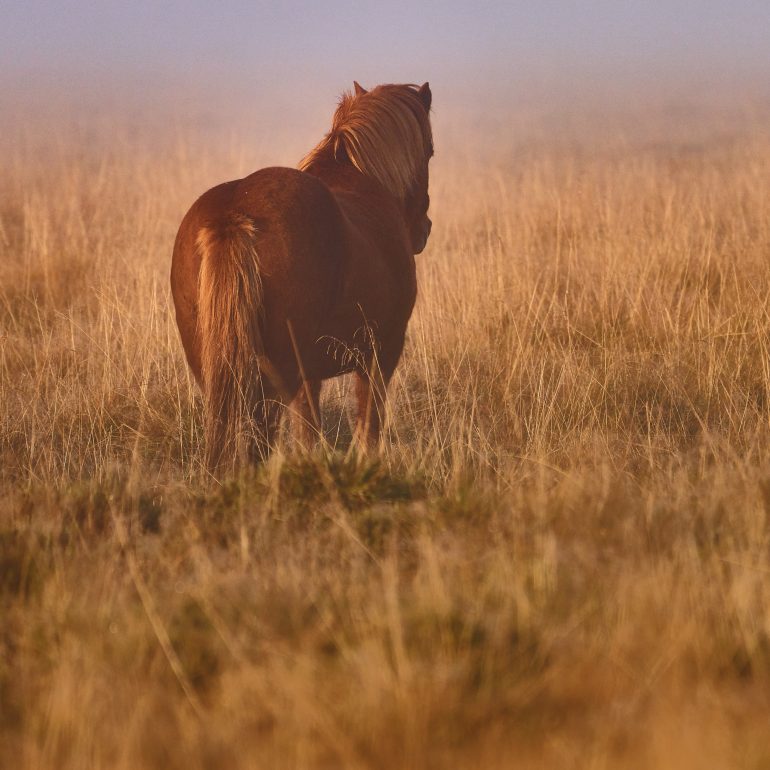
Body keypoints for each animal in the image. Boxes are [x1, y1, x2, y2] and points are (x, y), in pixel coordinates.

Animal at [170, 81, 433, 471]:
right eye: (430, 151)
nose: (424, 230)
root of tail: (235, 212)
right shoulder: (381, 352)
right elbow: (367, 424)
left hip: (218, 370)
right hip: (280, 378)